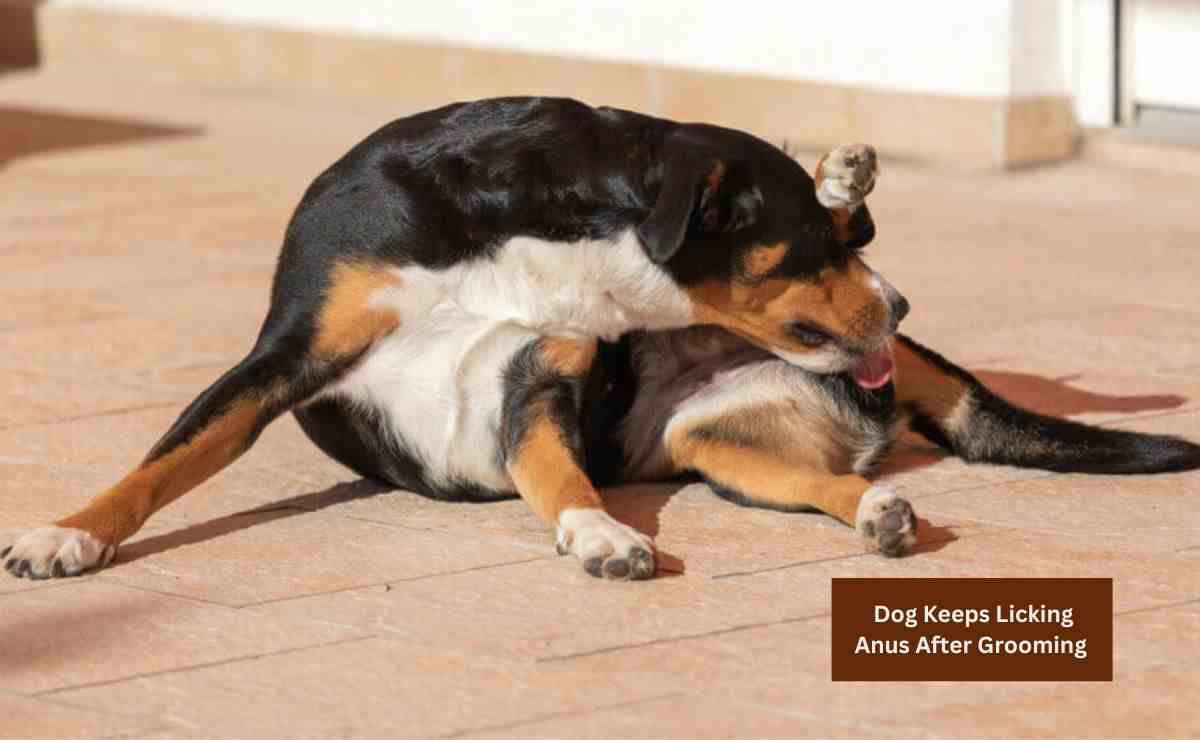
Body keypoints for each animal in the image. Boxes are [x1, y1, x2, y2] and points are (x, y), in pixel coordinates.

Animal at [2, 95, 1200, 580]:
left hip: (735, 443)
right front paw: (69, 535)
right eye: (800, 248)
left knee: (838, 483)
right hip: (729, 447)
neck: (520, 227)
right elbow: (157, 465)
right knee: (832, 481)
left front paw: (597, 537)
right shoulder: (285, 357)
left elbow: (557, 477)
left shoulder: (533, 385)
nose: (898, 309)